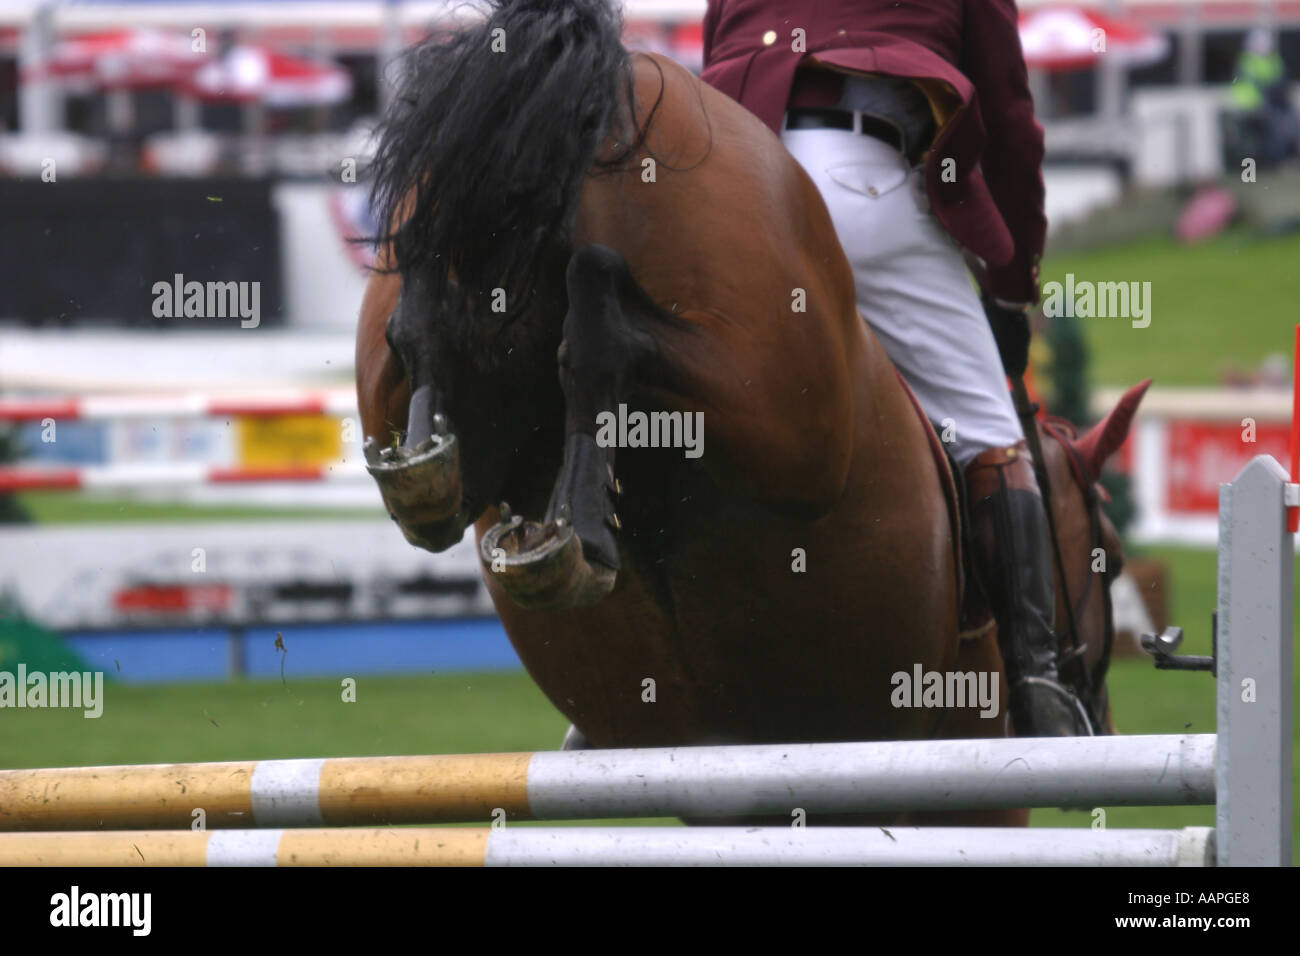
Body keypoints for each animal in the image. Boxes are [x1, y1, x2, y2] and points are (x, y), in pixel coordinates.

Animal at [356, 0, 1149, 822]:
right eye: (1111, 555)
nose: (1097, 719)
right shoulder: (965, 791)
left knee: (446, 326)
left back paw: (439, 468)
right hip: (777, 420)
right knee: (603, 318)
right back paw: (581, 534)